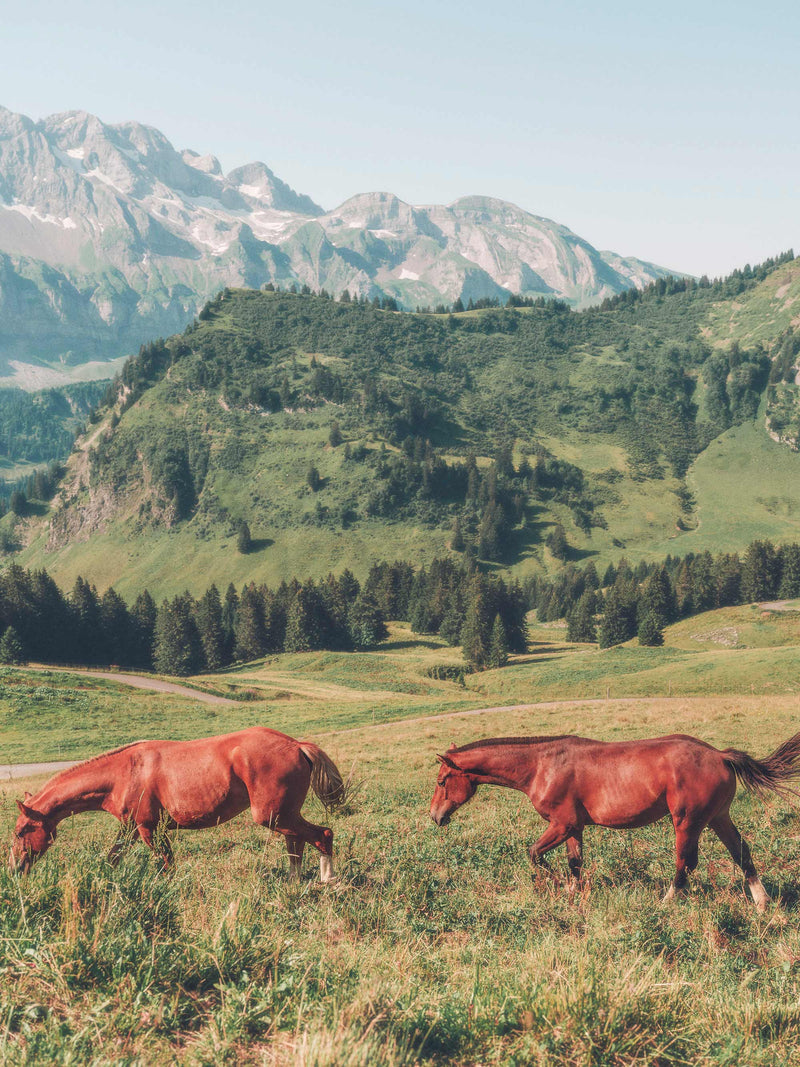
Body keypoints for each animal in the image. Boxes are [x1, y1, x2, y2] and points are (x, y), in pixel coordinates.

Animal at [9, 727, 345, 881]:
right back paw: (295, 882)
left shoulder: (149, 829)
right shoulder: (130, 830)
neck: (125, 772)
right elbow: (113, 858)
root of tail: (297, 745)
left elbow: (167, 865)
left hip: (273, 816)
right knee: (297, 843)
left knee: (322, 835)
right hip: (284, 815)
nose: (15, 869)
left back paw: (327, 880)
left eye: (20, 831)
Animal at [429, 732, 800, 909]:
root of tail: (720, 755)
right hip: (718, 818)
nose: (435, 816)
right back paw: (762, 902)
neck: (540, 767)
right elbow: (575, 863)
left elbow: (535, 854)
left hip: (687, 822)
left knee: (686, 863)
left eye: (442, 781)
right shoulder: (574, 828)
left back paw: (666, 902)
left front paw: (556, 884)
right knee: (742, 853)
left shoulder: (561, 825)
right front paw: (573, 892)